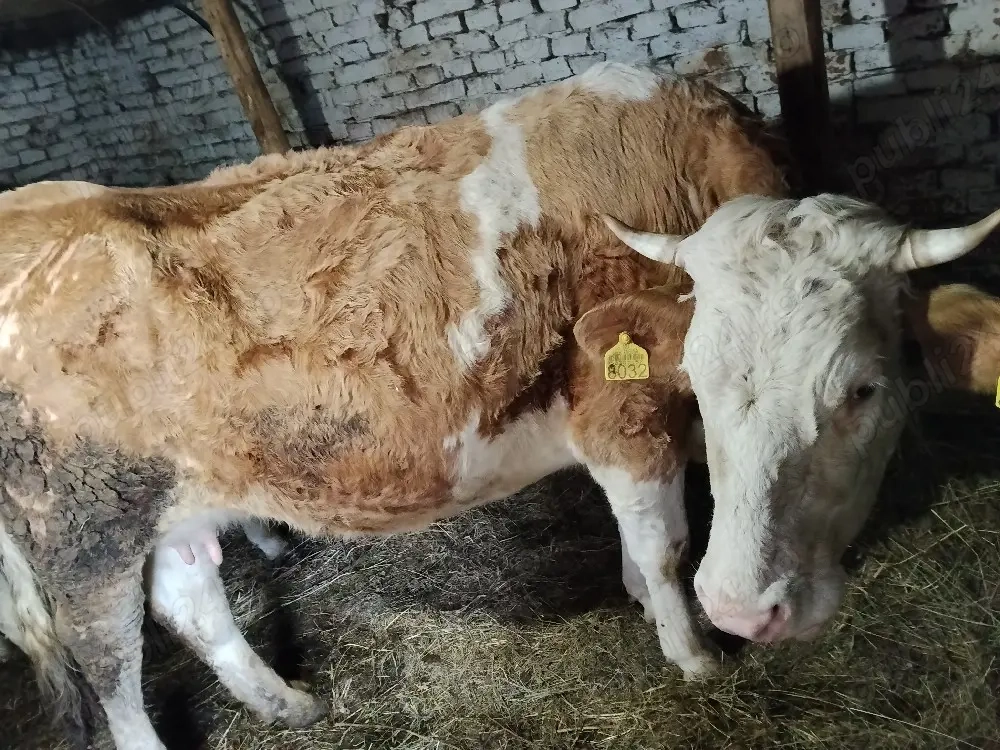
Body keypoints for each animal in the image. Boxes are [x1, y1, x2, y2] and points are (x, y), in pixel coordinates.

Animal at [1, 60, 998, 750]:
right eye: (702, 378)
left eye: (864, 389)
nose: (749, 611)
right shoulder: (621, 412)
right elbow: (667, 543)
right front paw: (694, 654)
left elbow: (643, 543)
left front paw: (647, 606)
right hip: (78, 532)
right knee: (109, 660)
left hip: (165, 504)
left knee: (191, 598)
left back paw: (287, 701)